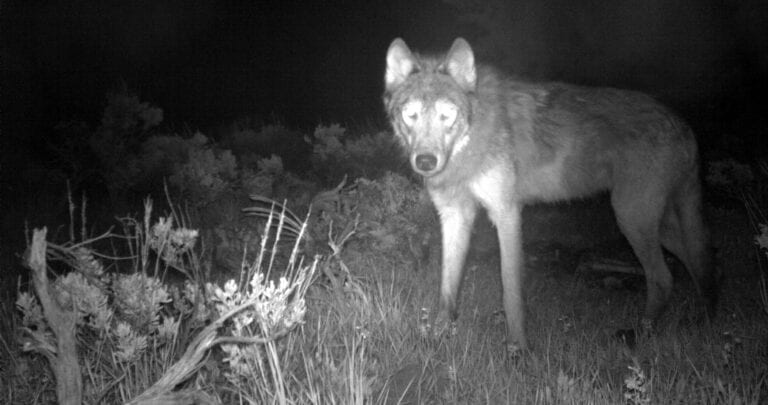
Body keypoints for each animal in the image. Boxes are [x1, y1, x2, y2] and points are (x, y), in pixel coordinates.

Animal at [383, 37, 717, 350]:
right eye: (410, 115)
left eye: (447, 115)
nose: (426, 161)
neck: (470, 142)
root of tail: (682, 123)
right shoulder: (455, 216)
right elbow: (447, 289)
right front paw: (437, 337)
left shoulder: (506, 213)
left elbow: (511, 292)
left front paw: (518, 349)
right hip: (654, 225)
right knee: (699, 263)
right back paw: (703, 321)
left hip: (632, 219)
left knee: (664, 277)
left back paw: (642, 334)